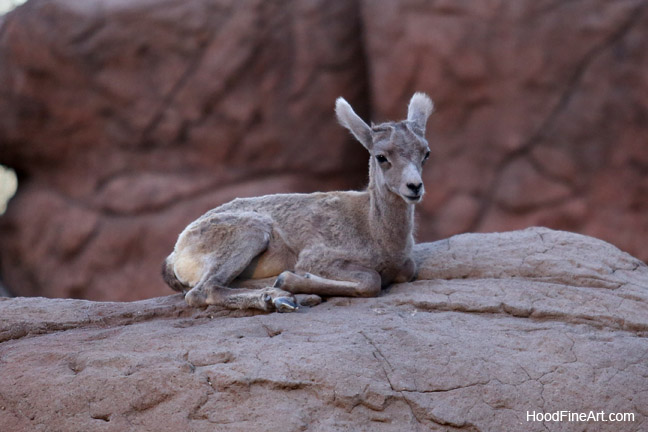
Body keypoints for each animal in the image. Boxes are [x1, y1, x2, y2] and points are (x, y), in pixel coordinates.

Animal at [162, 93, 434, 312]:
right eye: (381, 157)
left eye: (425, 153)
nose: (414, 187)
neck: (374, 231)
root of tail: (176, 252)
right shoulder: (320, 258)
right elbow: (371, 282)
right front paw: (291, 280)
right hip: (251, 232)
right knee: (204, 290)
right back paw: (278, 299)